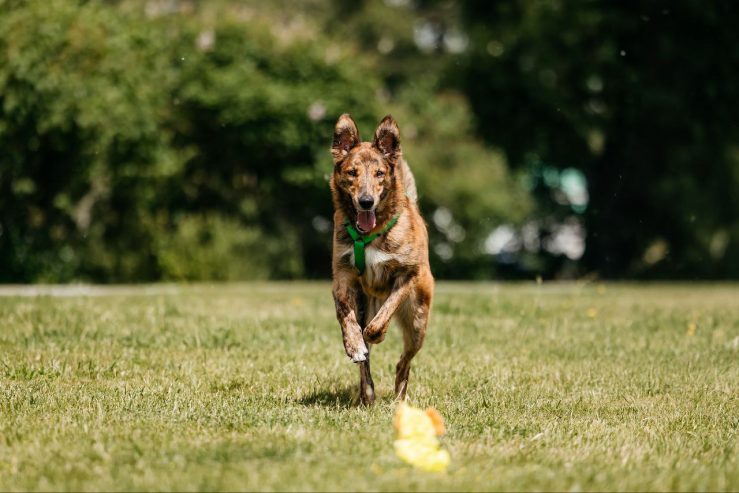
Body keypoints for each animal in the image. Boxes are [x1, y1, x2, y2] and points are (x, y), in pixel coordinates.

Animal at [330, 113, 434, 406]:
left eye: (379, 173)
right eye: (352, 172)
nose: (366, 201)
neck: (371, 234)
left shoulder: (407, 275)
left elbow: (386, 312)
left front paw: (374, 334)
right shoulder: (342, 275)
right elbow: (345, 314)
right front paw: (354, 344)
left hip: (418, 320)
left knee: (404, 362)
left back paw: (399, 396)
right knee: (366, 368)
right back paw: (367, 394)